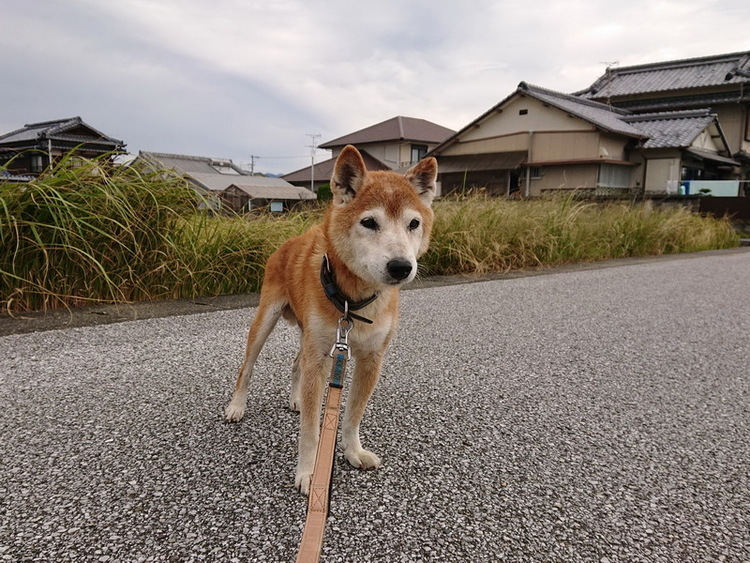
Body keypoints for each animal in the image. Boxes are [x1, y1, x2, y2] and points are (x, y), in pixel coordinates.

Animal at [224, 145, 437, 494]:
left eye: (414, 223)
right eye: (369, 222)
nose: (401, 266)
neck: (352, 302)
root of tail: (287, 244)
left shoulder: (370, 357)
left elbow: (352, 416)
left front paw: (353, 451)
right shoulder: (321, 357)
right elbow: (312, 429)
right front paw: (310, 472)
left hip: (309, 336)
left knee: (295, 363)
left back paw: (296, 399)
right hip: (266, 321)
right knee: (247, 368)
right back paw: (236, 407)